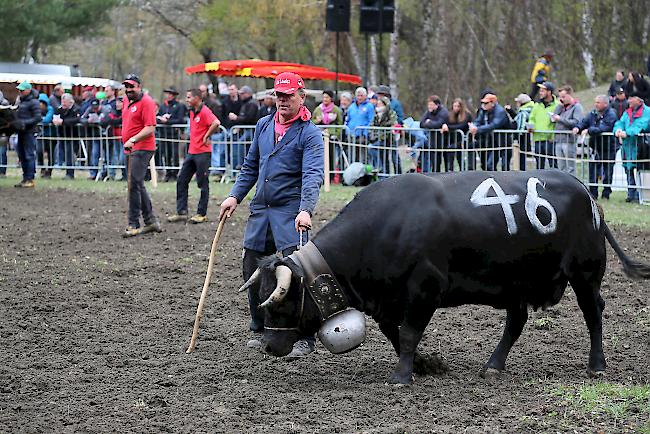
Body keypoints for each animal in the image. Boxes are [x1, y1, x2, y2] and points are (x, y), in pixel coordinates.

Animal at [243, 171, 648, 384]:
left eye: (281, 302)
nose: (270, 347)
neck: (389, 224)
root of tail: (583, 189)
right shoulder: (389, 300)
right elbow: (395, 333)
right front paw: (424, 365)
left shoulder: (426, 288)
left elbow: (408, 333)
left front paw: (403, 376)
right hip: (516, 283)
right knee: (516, 321)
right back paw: (493, 365)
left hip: (585, 274)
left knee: (593, 314)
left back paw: (597, 364)